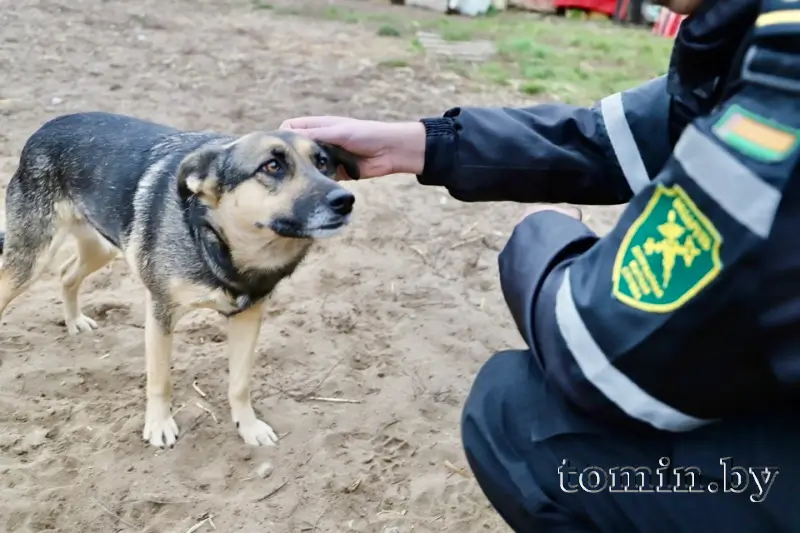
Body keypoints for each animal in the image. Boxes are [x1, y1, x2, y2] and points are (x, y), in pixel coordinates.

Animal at [0, 112, 360, 448]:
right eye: (272, 166)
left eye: (323, 163)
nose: (345, 200)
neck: (217, 242)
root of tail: (47, 127)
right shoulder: (160, 312)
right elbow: (160, 380)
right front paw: (159, 426)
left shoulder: (249, 316)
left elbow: (240, 383)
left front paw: (248, 426)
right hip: (30, 258)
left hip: (101, 246)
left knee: (66, 274)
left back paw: (74, 321)